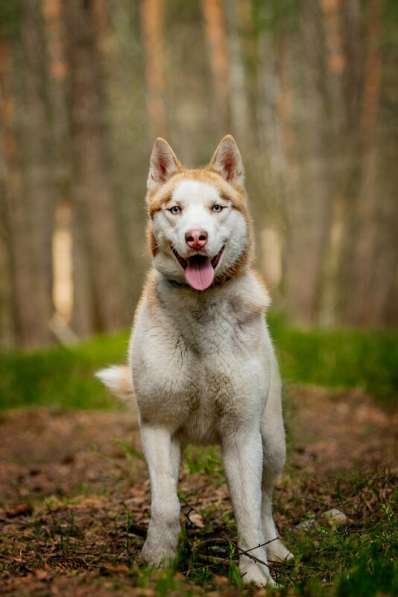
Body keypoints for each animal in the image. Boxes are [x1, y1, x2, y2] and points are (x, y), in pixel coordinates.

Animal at [97, 136, 292, 588]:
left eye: (217, 208)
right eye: (175, 209)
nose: (197, 237)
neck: (201, 313)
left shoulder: (242, 434)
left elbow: (248, 510)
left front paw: (257, 575)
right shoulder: (157, 426)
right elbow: (165, 505)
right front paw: (158, 561)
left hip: (273, 440)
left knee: (265, 500)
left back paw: (276, 548)